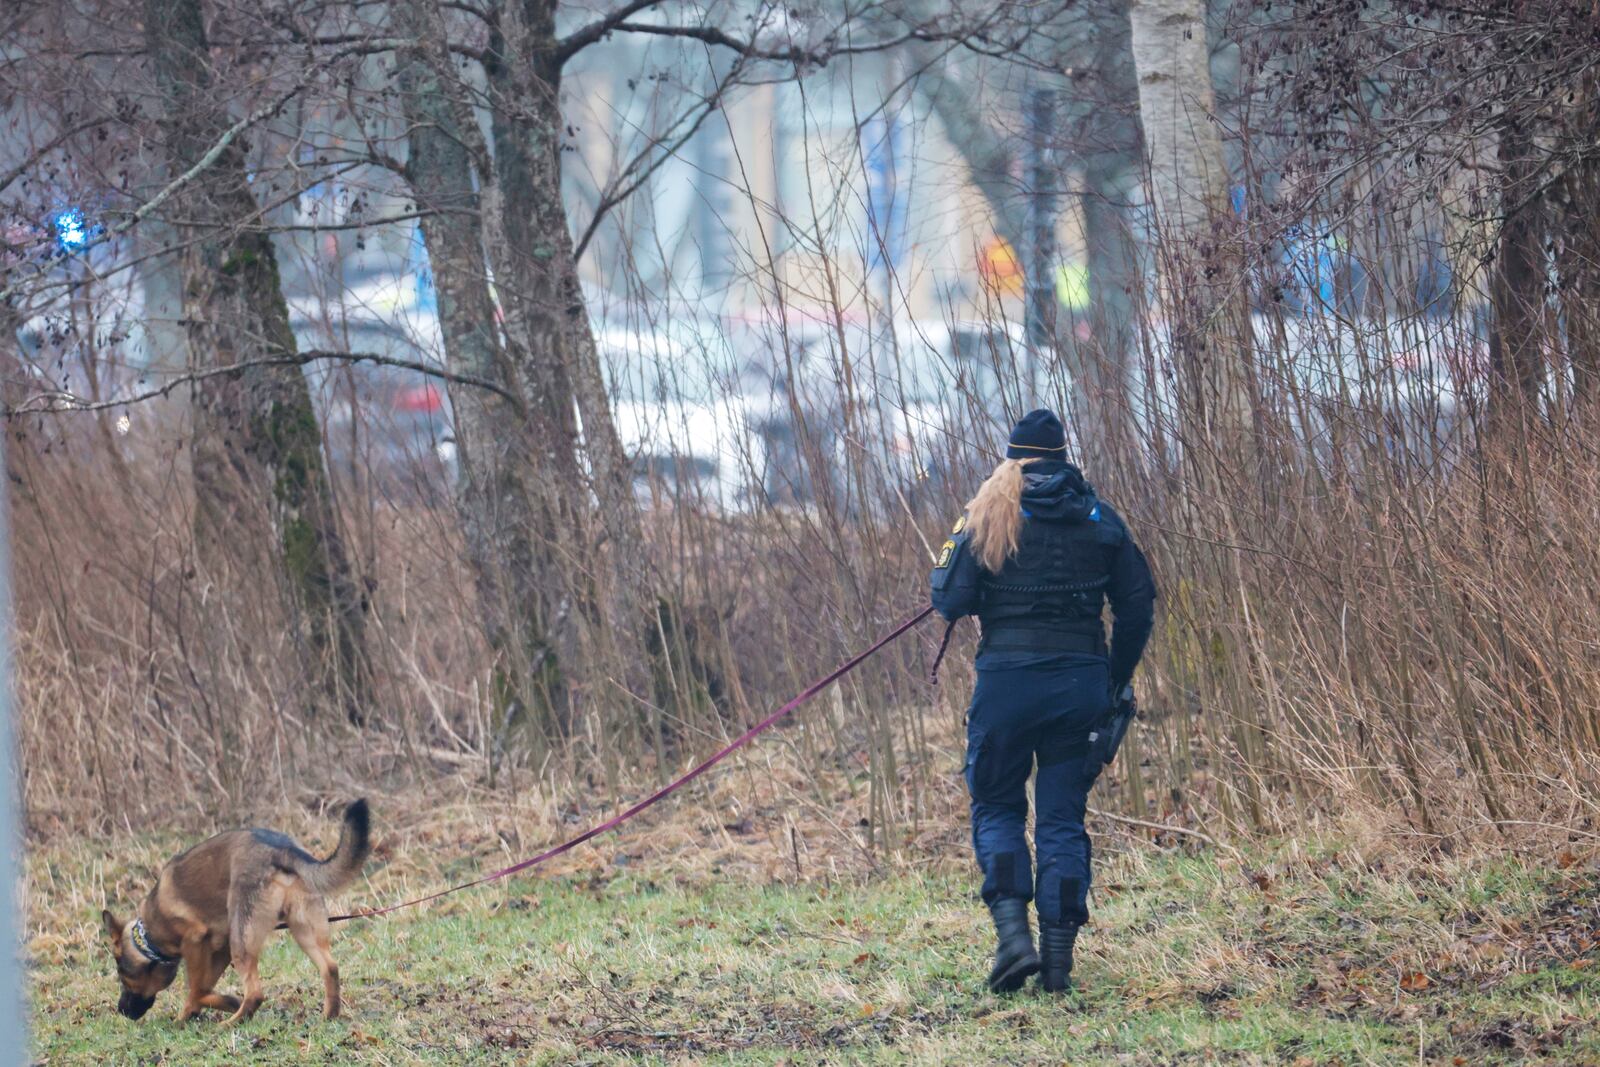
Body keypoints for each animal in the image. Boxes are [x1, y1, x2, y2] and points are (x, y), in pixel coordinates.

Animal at [100, 799, 371, 1023]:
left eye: (121, 974)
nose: (121, 1010)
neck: (149, 936)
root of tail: (281, 849)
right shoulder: (220, 950)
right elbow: (203, 988)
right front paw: (200, 1009)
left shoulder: (195, 943)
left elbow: (197, 989)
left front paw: (200, 1010)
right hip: (303, 930)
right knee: (330, 968)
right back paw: (329, 1015)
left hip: (243, 941)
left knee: (256, 993)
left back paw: (233, 1022)